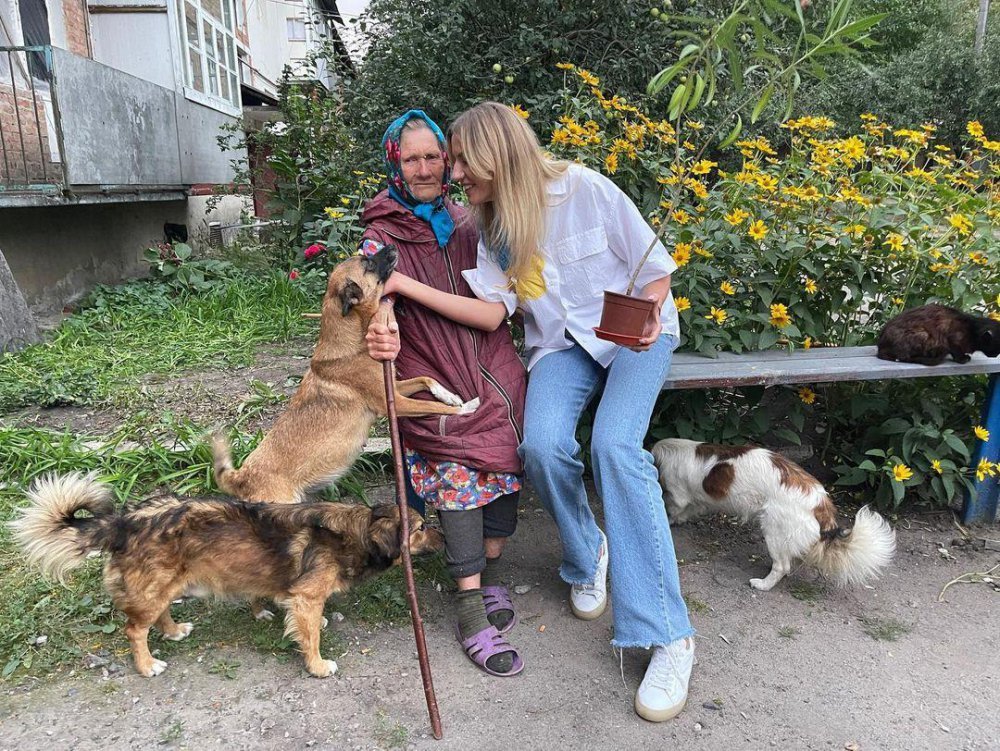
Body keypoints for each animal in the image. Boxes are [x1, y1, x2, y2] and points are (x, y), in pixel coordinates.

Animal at [10, 472, 444, 678]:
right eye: (422, 527)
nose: (442, 537)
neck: (358, 531)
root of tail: (124, 522)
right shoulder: (306, 593)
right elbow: (310, 637)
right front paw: (318, 665)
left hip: (165, 584)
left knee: (159, 615)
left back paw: (173, 631)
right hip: (151, 589)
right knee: (134, 630)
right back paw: (147, 665)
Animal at [212, 244, 479, 503]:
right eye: (367, 263)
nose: (392, 245)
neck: (354, 343)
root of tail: (240, 478)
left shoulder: (394, 387)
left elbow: (427, 379)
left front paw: (450, 396)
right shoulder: (393, 402)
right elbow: (440, 409)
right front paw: (466, 407)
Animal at [652, 438, 896, 591]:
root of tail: (820, 503)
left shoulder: (677, 495)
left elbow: (673, 507)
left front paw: (670, 520)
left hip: (774, 529)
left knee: (782, 566)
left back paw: (763, 584)